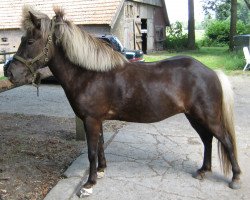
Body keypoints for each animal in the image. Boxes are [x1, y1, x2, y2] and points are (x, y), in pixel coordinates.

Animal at [6, 5, 241, 197]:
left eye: (29, 41)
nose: (9, 72)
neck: (89, 74)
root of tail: (211, 72)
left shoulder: (91, 120)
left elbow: (92, 151)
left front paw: (89, 184)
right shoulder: (96, 120)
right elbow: (100, 146)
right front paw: (101, 171)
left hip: (208, 117)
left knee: (225, 141)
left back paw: (235, 178)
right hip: (194, 116)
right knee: (207, 140)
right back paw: (203, 171)